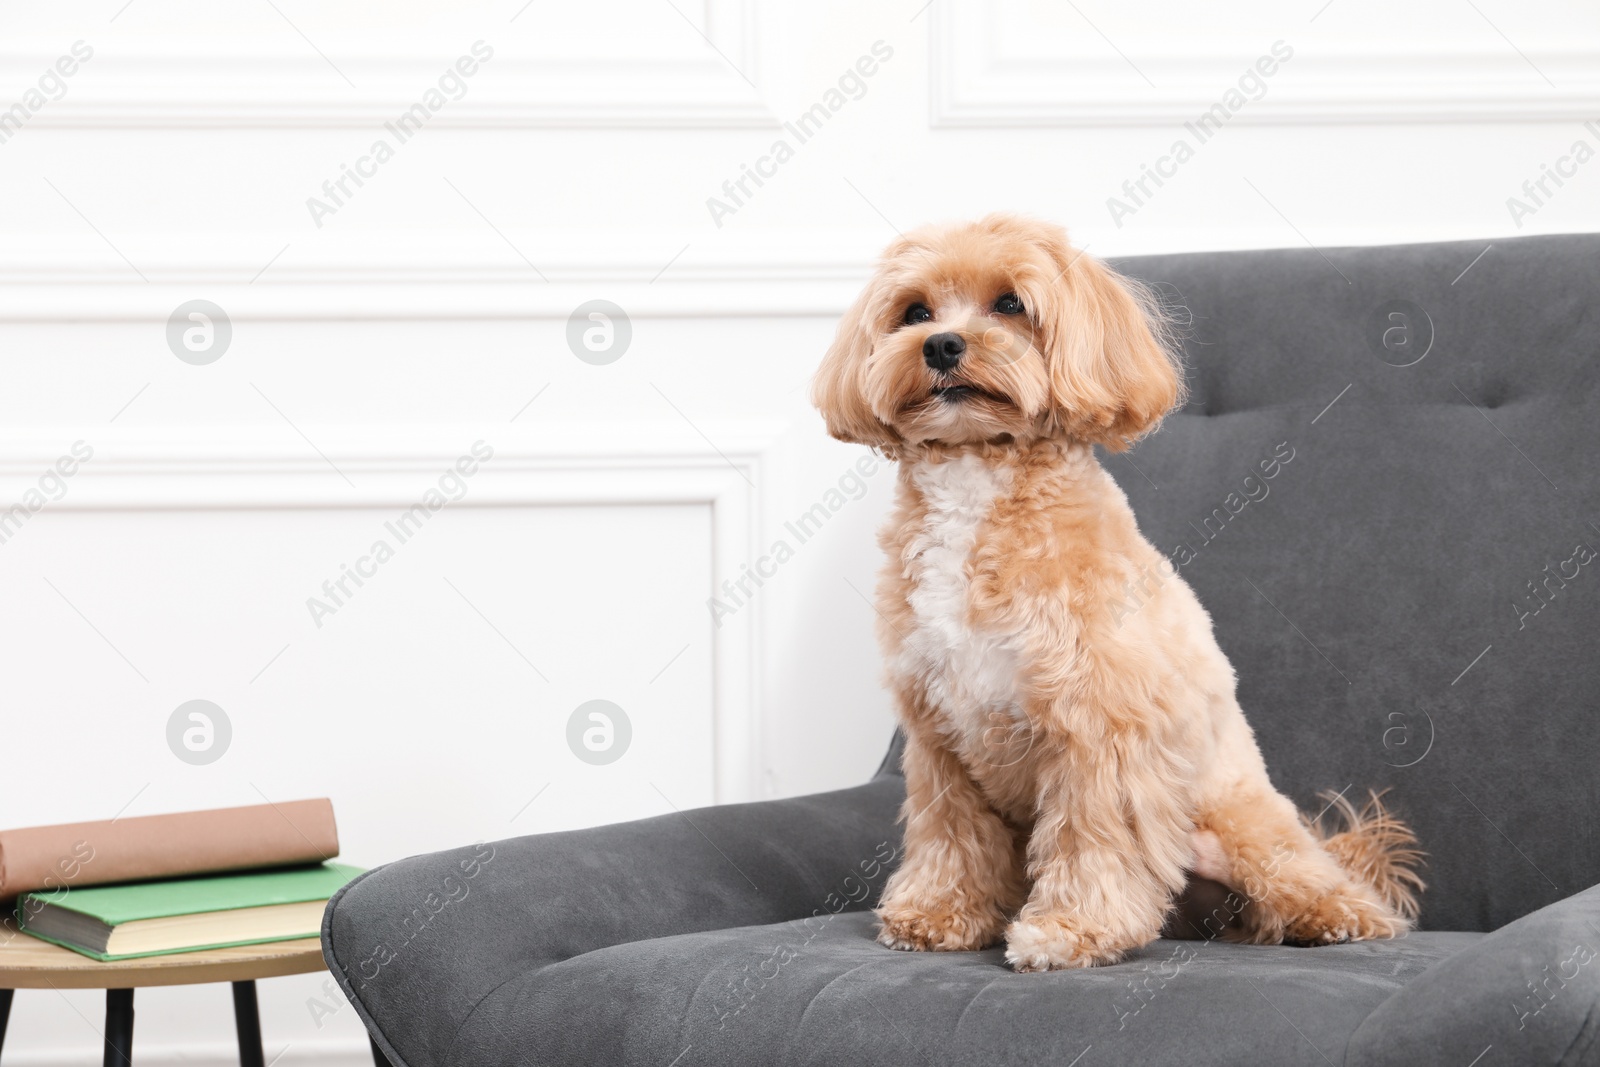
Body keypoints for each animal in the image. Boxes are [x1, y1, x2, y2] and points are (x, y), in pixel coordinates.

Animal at [819, 212, 1420, 972]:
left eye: (1010, 303)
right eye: (915, 312)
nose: (943, 344)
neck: (977, 477)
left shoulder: (1099, 729)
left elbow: (1091, 839)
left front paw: (1071, 931)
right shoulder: (940, 742)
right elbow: (950, 834)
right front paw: (938, 913)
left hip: (1243, 821)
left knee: (1317, 880)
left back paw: (1335, 917)